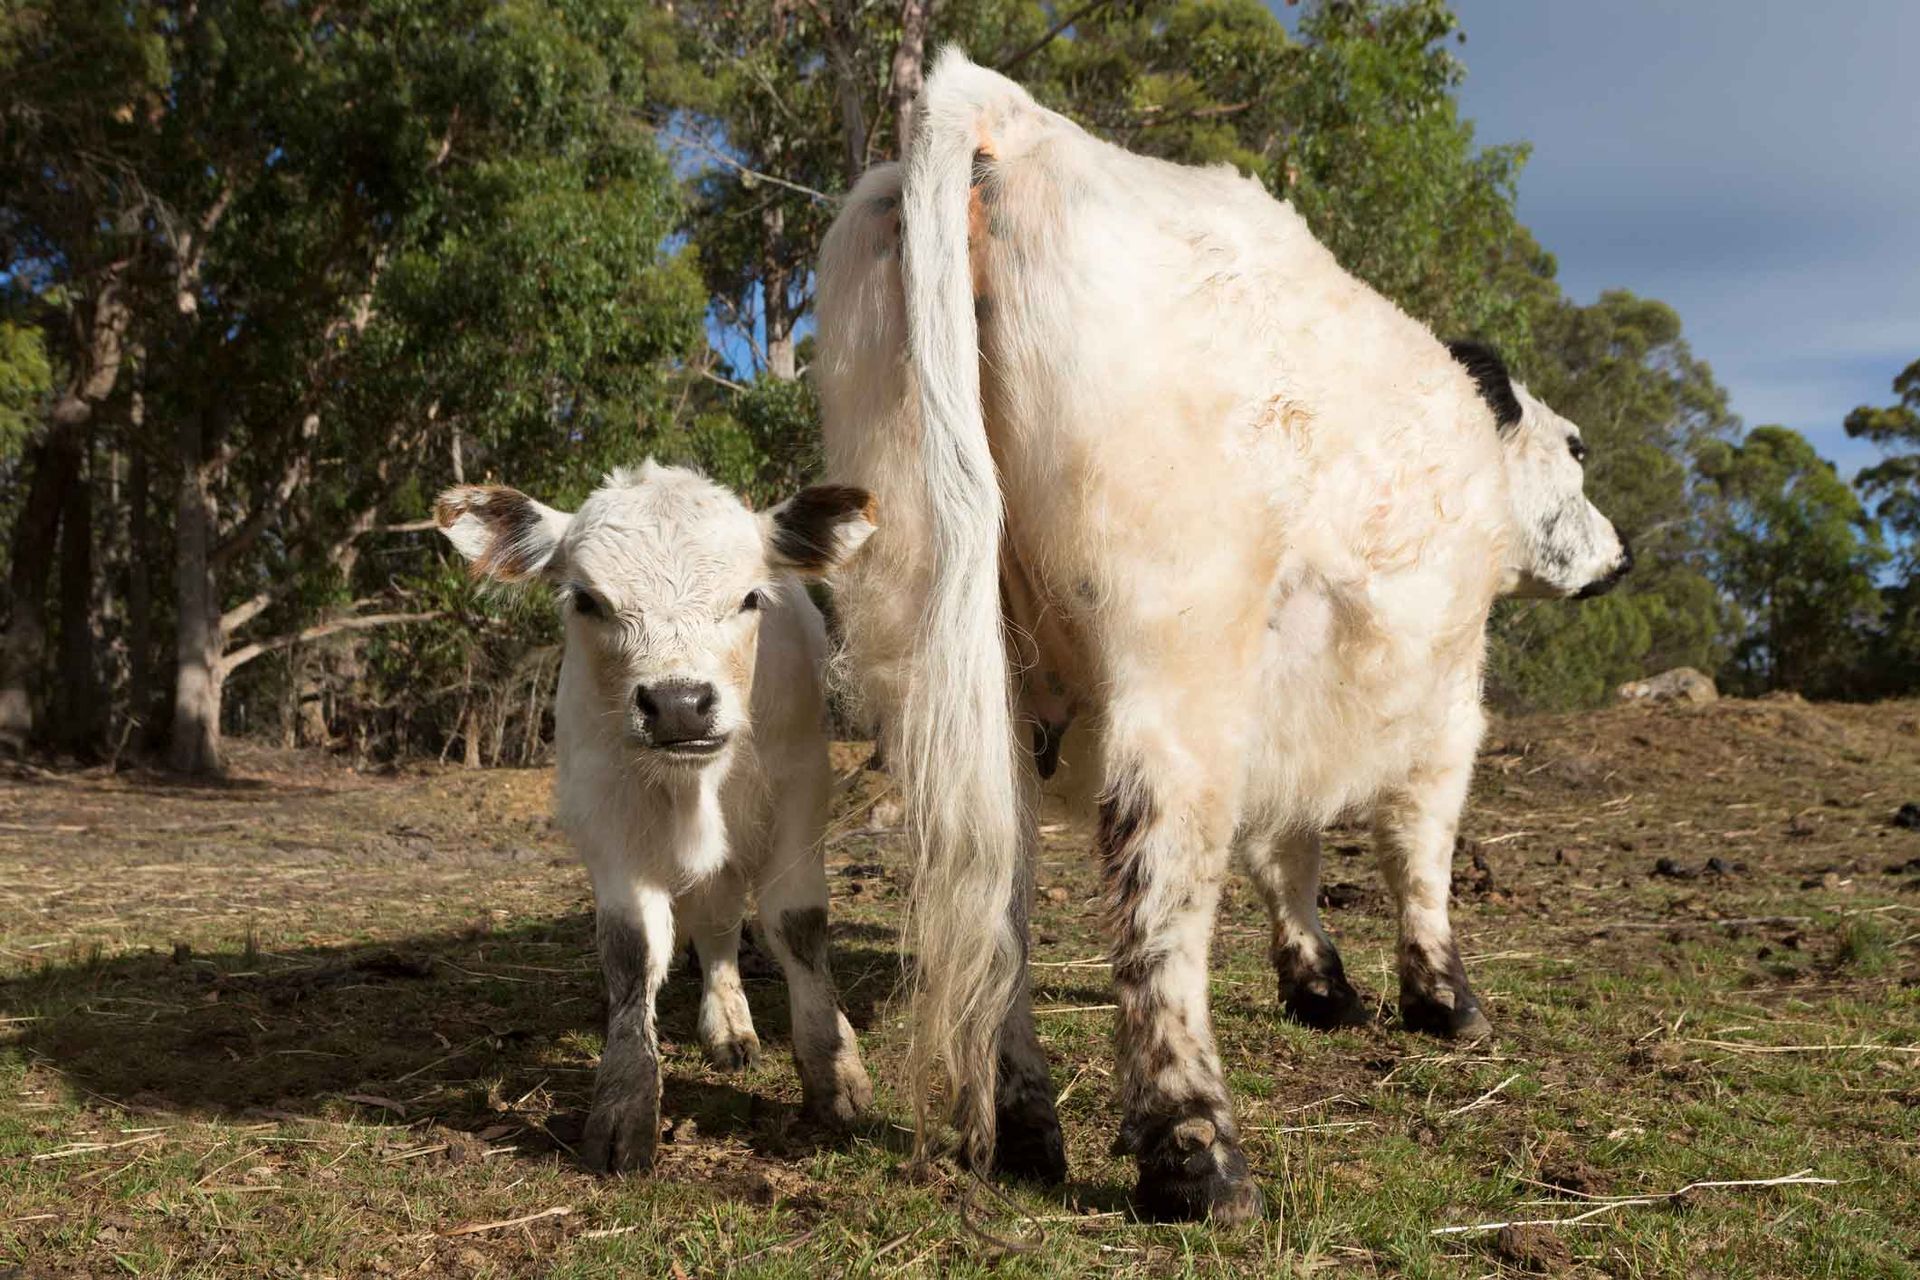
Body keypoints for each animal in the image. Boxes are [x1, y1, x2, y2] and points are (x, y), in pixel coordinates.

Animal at [436, 463, 878, 1175]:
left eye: (750, 597)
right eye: (587, 601)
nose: (678, 704)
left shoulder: (800, 795)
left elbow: (798, 926)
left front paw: (836, 1075)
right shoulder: (605, 814)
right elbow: (632, 950)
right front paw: (624, 1105)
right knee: (716, 924)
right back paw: (728, 1024)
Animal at [812, 50, 1629, 1222]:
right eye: (1576, 450)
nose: (1621, 555)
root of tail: (1016, 120)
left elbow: (1282, 847)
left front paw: (1319, 984)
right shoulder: (1445, 699)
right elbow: (1413, 847)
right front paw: (1443, 998)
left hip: (944, 642)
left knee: (994, 875)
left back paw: (1025, 1127)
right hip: (1175, 654)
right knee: (1161, 870)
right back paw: (1195, 1148)